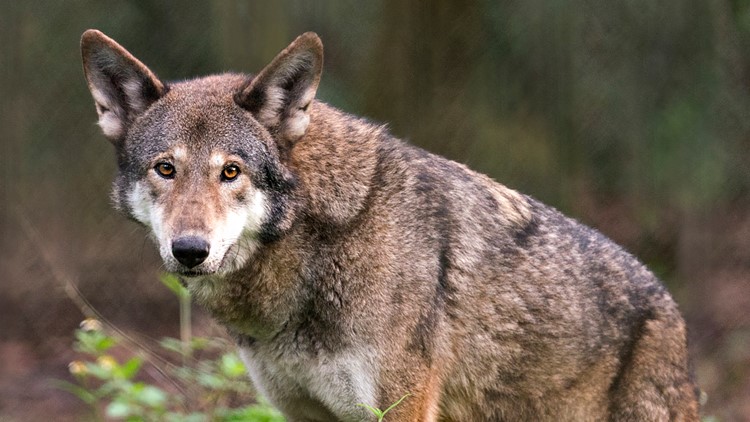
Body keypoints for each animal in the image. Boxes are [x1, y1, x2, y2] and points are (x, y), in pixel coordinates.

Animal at [81, 29, 699, 421]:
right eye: (166, 168)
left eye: (231, 171)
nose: (190, 249)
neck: (316, 245)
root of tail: (671, 307)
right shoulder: (306, 413)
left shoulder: (401, 409)